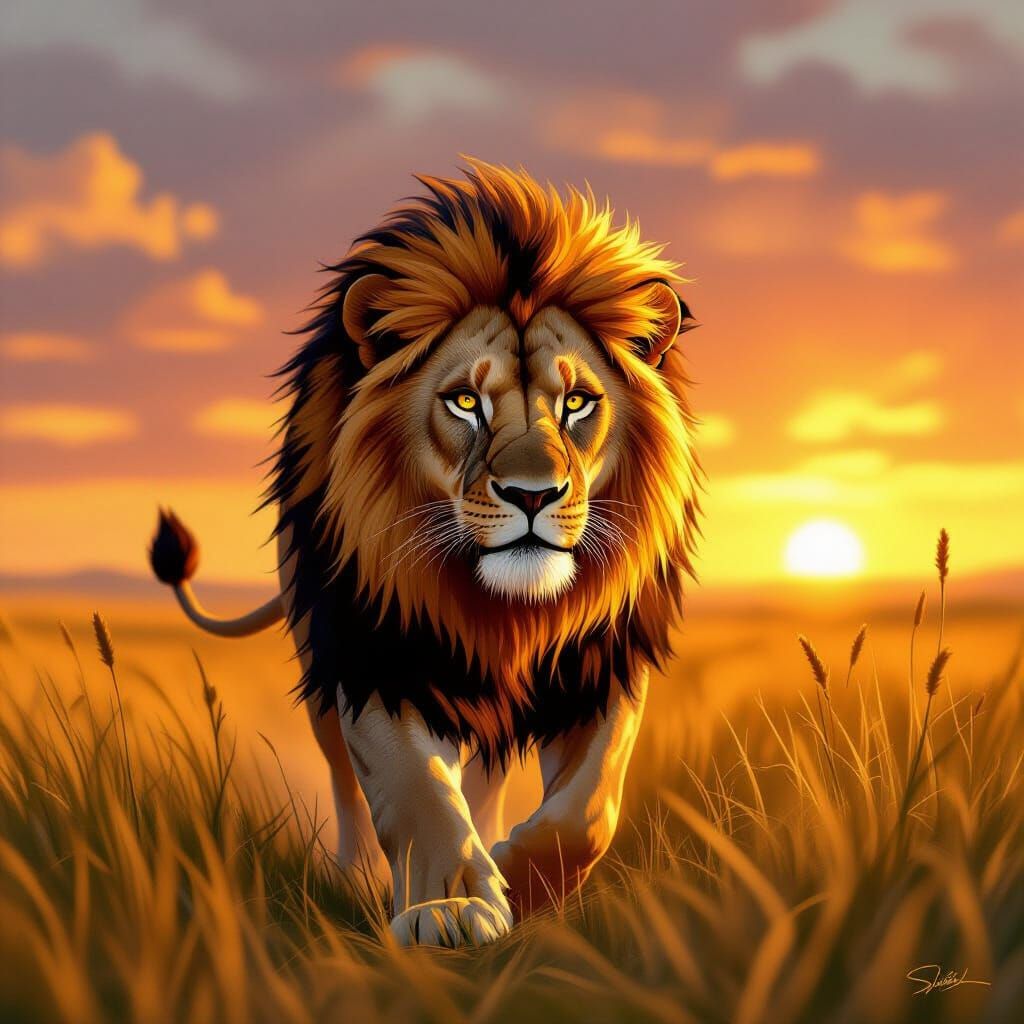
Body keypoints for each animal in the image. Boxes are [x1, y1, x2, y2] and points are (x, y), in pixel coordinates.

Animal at [150, 159, 701, 947]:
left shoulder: (603, 661)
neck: (500, 612)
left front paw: (520, 876)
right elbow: (414, 790)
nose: (533, 494)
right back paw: (354, 876)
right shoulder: (374, 657)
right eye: (465, 402)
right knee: (346, 782)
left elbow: (588, 810)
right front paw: (452, 908)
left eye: (577, 403)